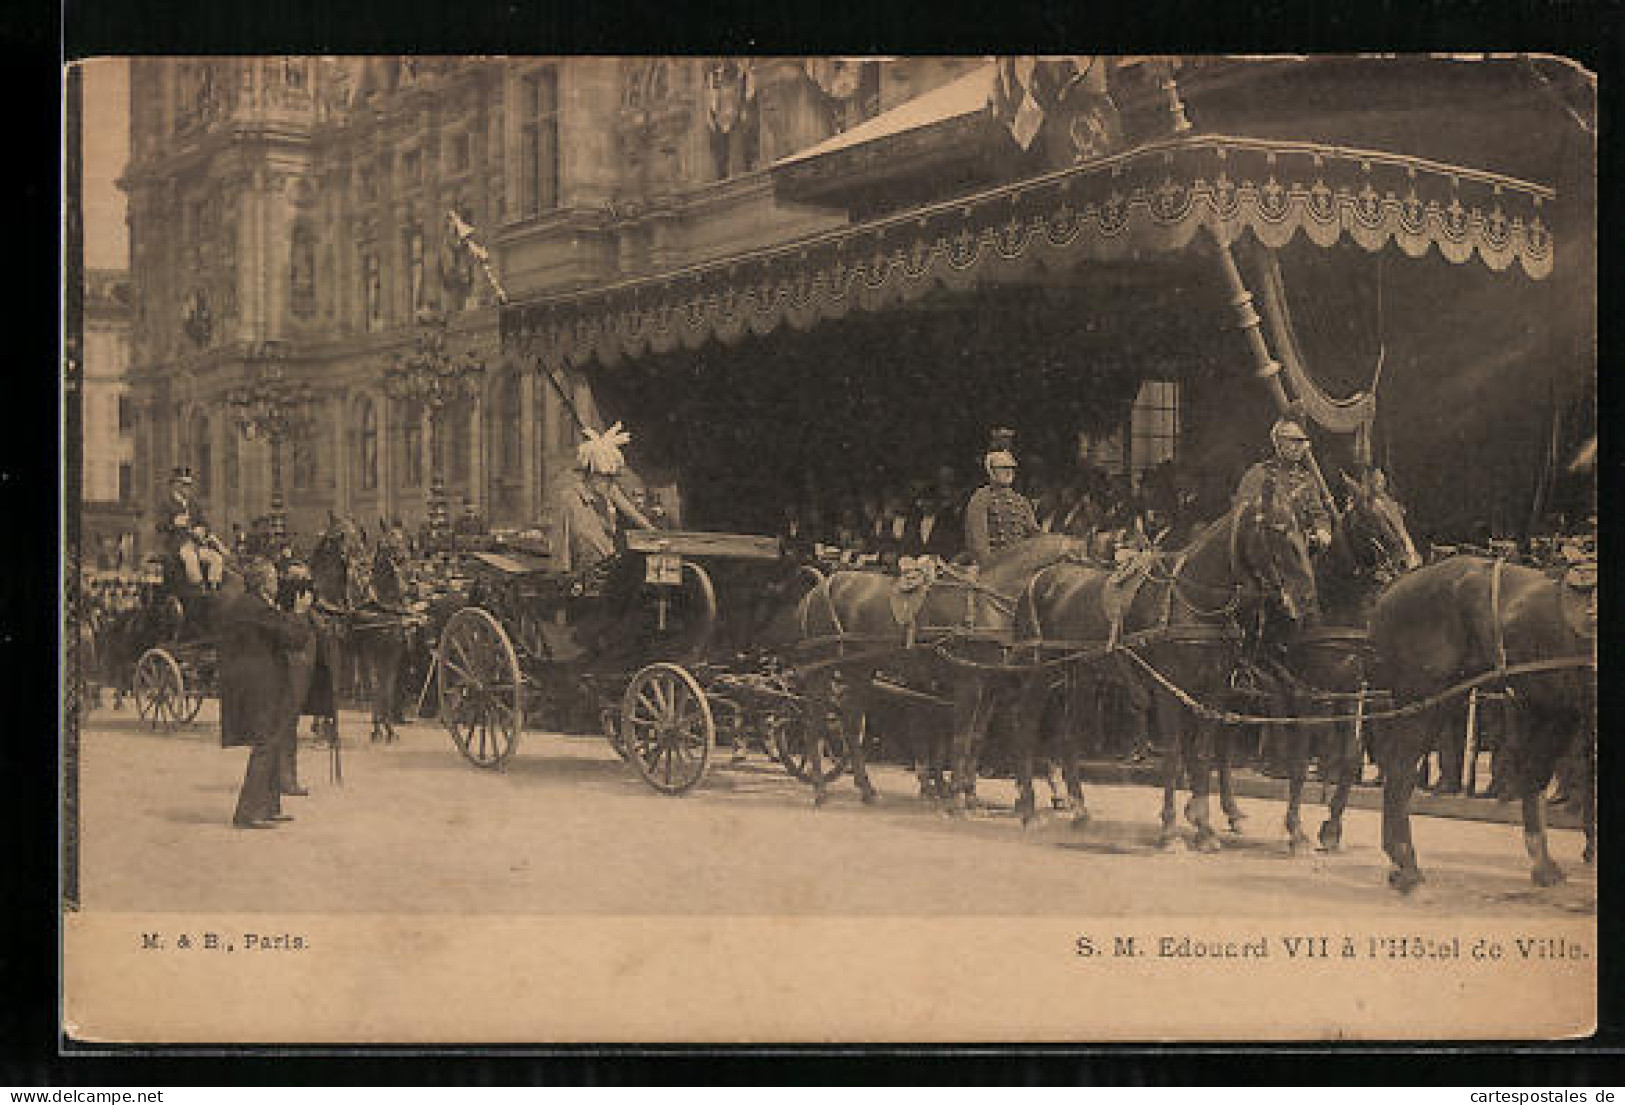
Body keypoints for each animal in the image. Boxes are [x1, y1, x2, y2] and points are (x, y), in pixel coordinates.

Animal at [786, 536, 1092, 812]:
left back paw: (868, 790)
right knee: (814, 724)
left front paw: (969, 795)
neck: (987, 603)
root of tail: (818, 589)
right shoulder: (969, 682)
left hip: (858, 669)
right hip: (821, 670)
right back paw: (820, 790)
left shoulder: (990, 688)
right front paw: (956, 797)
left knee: (850, 724)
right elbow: (961, 737)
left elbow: (976, 739)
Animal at [1001, 471, 1319, 851]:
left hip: (1082, 675)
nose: (1305, 597)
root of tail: (1037, 580)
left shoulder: (1213, 693)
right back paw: (1028, 810)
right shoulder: (1170, 691)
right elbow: (1173, 753)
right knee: (1023, 722)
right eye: (1277, 529)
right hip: (1040, 672)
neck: (1193, 599)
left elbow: (1202, 755)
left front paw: (1204, 830)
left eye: (1304, 531)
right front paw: (1170, 829)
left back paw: (1079, 811)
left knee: (1068, 735)